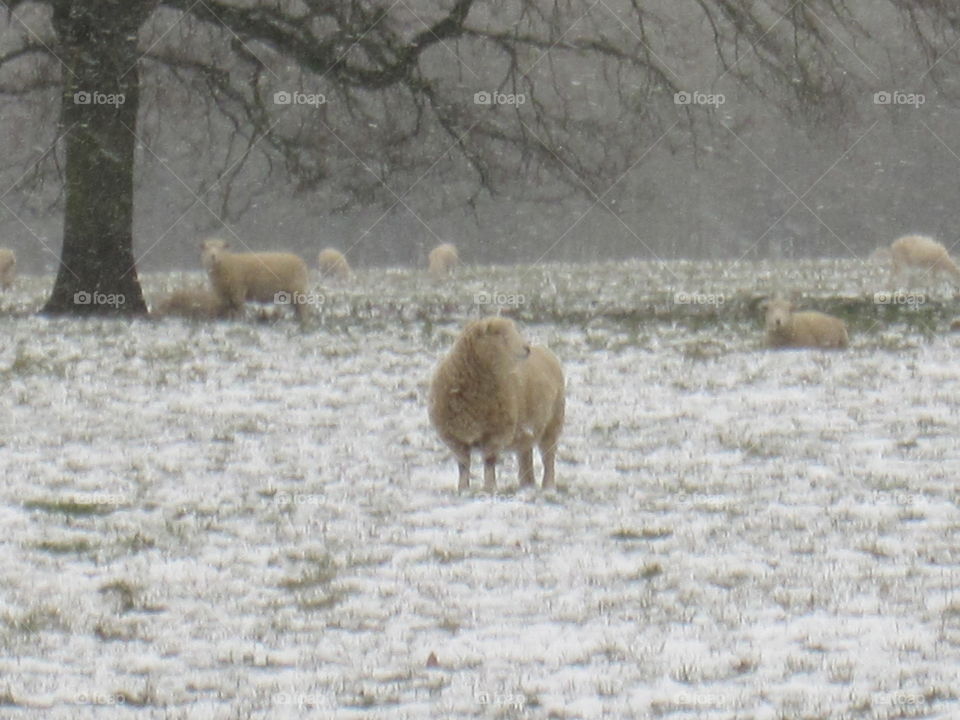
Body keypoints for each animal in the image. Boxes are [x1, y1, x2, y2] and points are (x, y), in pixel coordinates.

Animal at [426, 318, 564, 492]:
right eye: (501, 335)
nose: (527, 349)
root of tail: (545, 351)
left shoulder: (496, 432)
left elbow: (489, 462)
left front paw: (489, 488)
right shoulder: (454, 436)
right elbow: (463, 465)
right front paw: (463, 489)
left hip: (552, 424)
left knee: (548, 458)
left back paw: (548, 486)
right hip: (527, 430)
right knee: (525, 456)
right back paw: (527, 486)